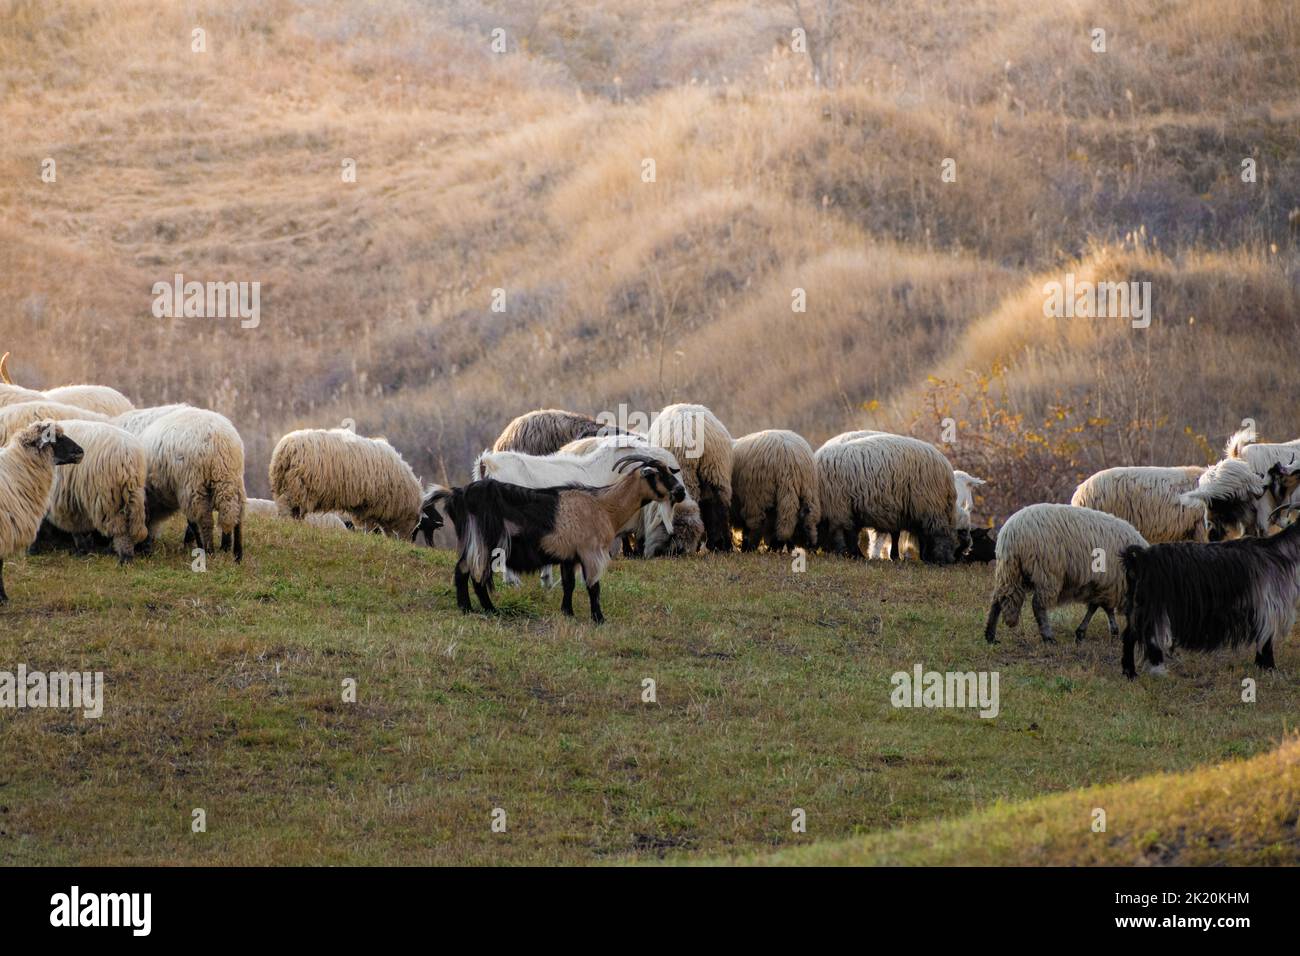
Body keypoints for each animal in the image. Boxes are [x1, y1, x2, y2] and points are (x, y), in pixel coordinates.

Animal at [117, 405, 247, 560]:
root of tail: (219, 440)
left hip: (194, 484)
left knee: (205, 520)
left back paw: (208, 551)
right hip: (232, 479)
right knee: (236, 514)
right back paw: (235, 553)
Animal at [269, 428, 422, 539]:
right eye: (415, 523)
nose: (404, 541)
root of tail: (285, 449)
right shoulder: (370, 505)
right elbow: (368, 525)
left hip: (286, 484)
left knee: (293, 509)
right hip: (297, 486)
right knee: (285, 505)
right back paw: (287, 523)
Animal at [437, 453, 686, 623]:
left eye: (670, 471)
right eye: (657, 474)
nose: (681, 492)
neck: (604, 505)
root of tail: (458, 495)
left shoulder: (569, 555)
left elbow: (569, 585)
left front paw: (568, 613)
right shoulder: (590, 552)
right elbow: (593, 587)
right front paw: (599, 619)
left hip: (472, 542)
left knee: (462, 570)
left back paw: (467, 608)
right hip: (486, 543)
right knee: (476, 574)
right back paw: (490, 609)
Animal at [984, 503, 1147, 645]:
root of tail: (1011, 532)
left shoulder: (1102, 584)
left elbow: (1099, 607)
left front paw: (1099, 633)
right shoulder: (1111, 583)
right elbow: (1098, 607)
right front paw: (1098, 633)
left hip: (1009, 571)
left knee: (998, 599)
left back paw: (990, 636)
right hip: (1047, 572)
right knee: (1037, 605)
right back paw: (1048, 637)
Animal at [1120, 519, 1300, 678]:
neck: (1280, 552)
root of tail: (1139, 558)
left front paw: (1261, 666)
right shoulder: (1269, 606)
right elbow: (1266, 641)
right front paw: (1270, 669)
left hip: (1136, 606)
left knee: (1129, 635)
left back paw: (1129, 673)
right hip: (1151, 607)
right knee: (1147, 636)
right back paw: (1152, 671)